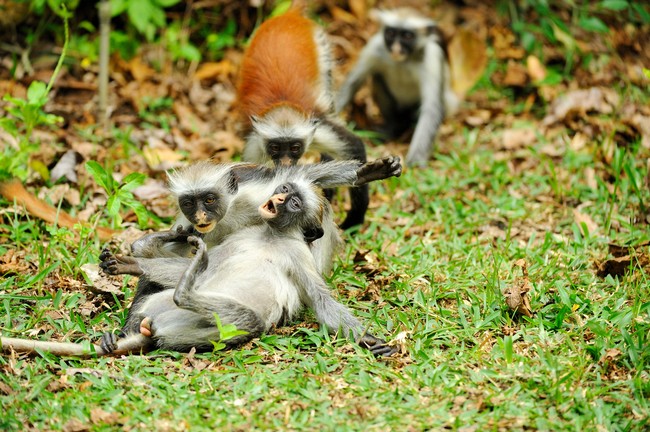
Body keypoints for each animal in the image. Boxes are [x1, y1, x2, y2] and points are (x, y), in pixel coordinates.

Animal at [237, 5, 370, 230]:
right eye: (275, 147)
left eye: (295, 147)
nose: (285, 163)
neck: (282, 102)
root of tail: (289, 15)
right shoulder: (256, 145)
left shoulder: (319, 126)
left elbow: (355, 146)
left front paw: (354, 219)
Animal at [336, 8, 458, 167]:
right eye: (391, 33)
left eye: (407, 36)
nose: (395, 49)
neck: (403, 61)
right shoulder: (375, 47)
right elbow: (352, 83)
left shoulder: (431, 57)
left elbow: (432, 108)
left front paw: (416, 161)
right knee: (378, 77)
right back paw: (391, 129)